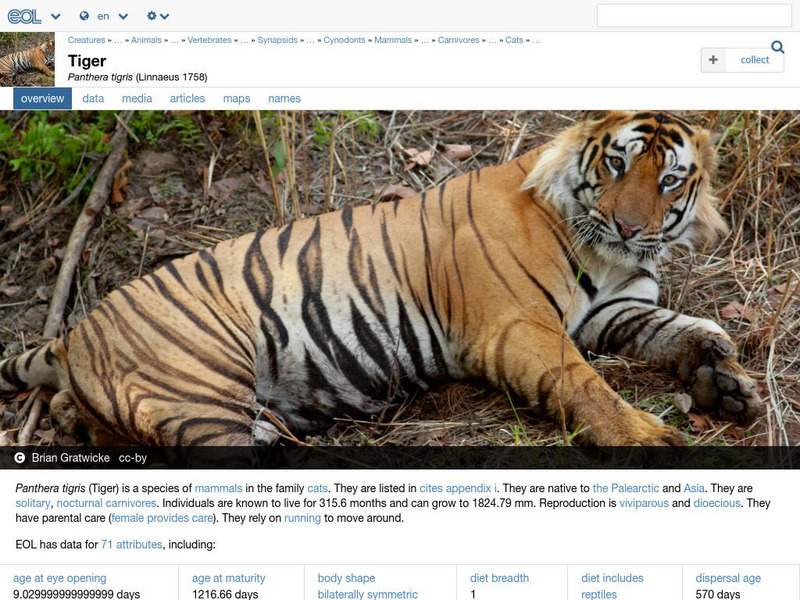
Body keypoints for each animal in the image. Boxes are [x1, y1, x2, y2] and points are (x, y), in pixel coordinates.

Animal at [0, 111, 764, 446]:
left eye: (669, 180)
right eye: (616, 165)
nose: (633, 228)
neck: (607, 255)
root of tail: (74, 333)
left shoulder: (611, 309)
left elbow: (680, 328)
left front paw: (722, 381)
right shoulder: (519, 325)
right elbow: (585, 383)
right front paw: (646, 437)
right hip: (199, 393)